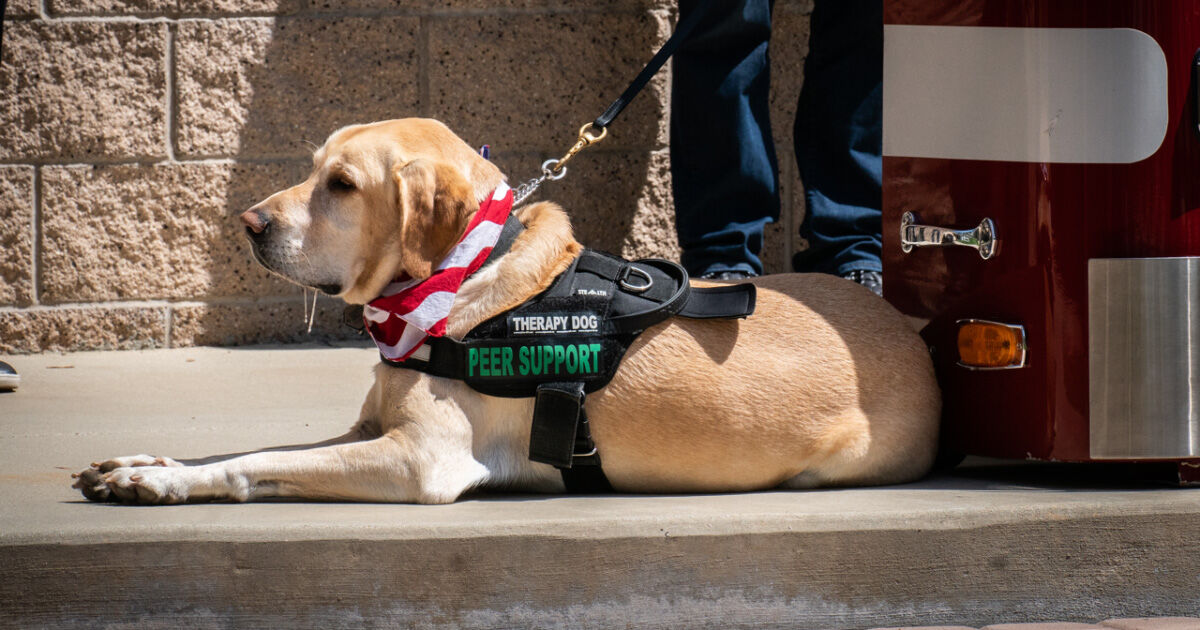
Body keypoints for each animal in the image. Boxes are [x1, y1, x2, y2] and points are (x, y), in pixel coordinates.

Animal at [72, 116, 936, 501]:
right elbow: (255, 450)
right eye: (314, 167)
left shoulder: (420, 461)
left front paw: (158, 484)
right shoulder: (367, 429)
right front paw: (151, 465)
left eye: (342, 185)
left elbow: (260, 462)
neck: (462, 274)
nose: (248, 223)